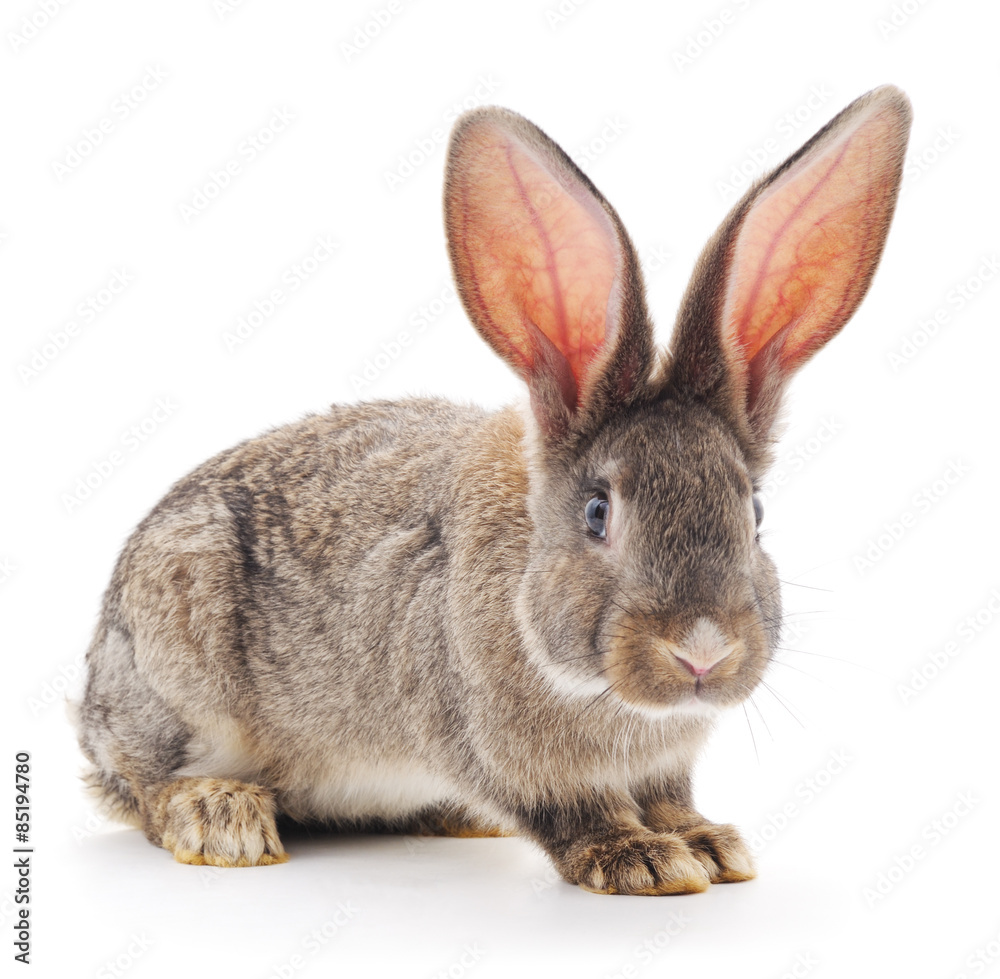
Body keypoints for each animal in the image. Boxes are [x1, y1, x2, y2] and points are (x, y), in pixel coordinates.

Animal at [74, 85, 911, 894]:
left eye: (755, 513)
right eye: (598, 513)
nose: (703, 650)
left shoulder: (662, 763)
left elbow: (671, 797)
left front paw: (708, 843)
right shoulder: (494, 741)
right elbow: (572, 809)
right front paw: (643, 860)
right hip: (178, 661)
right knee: (142, 787)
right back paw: (221, 816)